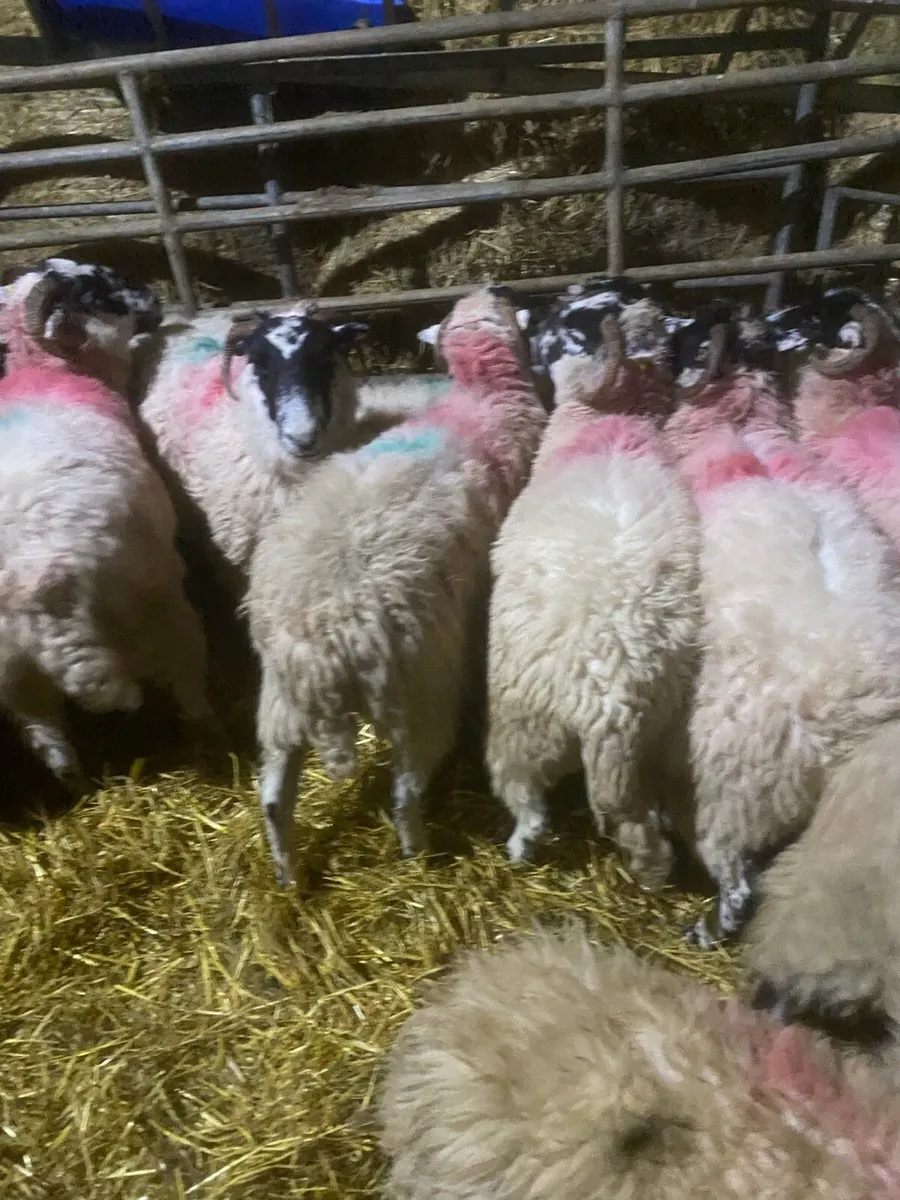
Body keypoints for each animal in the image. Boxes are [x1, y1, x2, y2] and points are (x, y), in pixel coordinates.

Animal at [0, 258, 213, 789]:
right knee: (188, 683)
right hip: (159, 606)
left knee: (50, 742)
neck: (43, 370)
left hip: (14, 679)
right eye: (97, 293)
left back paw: (75, 785)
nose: (154, 299)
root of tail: (40, 603)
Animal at [244, 286, 548, 885]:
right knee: (405, 793)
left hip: (280, 700)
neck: (483, 396)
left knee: (273, 795)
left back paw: (287, 873)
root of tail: (320, 646)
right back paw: (419, 853)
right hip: (419, 690)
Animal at [484, 287, 701, 888]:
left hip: (519, 727)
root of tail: (606, 711)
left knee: (525, 796)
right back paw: (653, 868)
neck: (618, 418)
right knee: (629, 814)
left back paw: (520, 846)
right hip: (649, 743)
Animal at [664, 304, 900, 947]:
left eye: (686, 337)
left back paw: (704, 929)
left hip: (733, 793)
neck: (742, 425)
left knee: (738, 882)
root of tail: (839, 731)